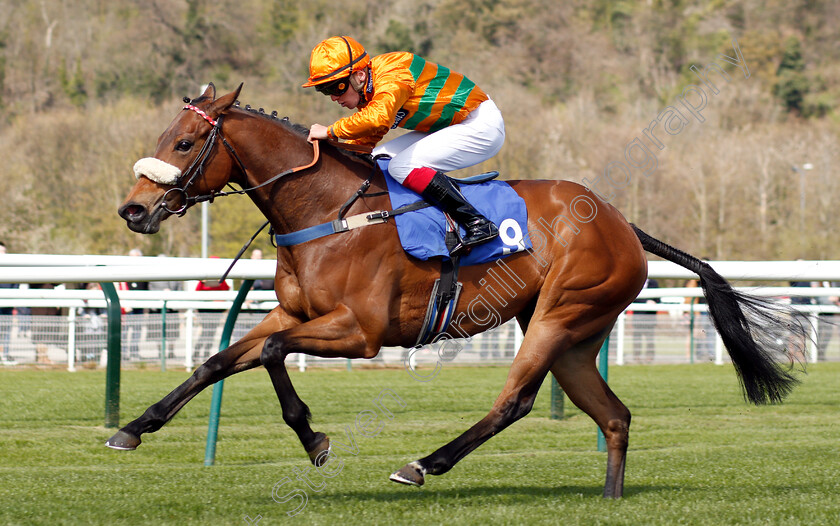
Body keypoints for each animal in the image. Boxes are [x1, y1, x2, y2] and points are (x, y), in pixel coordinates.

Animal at [110, 84, 800, 502]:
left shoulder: (359, 332)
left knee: (515, 401)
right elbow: (219, 361)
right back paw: (610, 497)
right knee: (613, 414)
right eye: (166, 137)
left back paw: (423, 463)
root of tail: (622, 221)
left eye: (184, 142)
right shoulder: (294, 311)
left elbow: (276, 354)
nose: (133, 211)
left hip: (561, 313)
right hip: (577, 335)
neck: (329, 210)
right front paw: (134, 427)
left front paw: (314, 439)